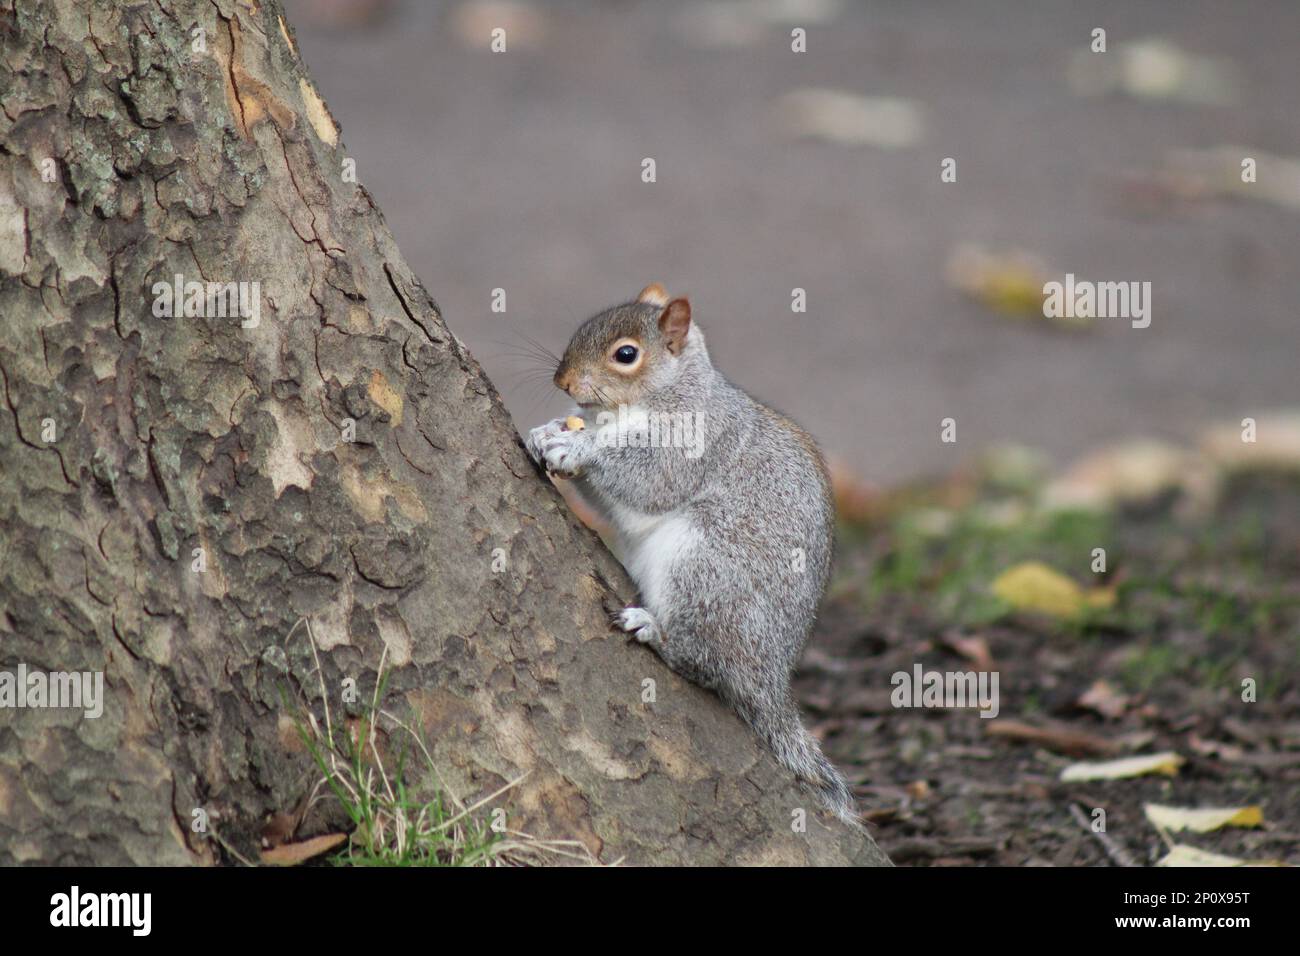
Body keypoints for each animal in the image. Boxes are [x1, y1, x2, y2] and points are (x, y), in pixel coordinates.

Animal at [524, 282, 858, 825]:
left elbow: (650, 479)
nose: (563, 380)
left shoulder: (696, 442)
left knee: (702, 662)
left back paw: (653, 630)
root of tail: (770, 679)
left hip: (707, 569)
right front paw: (550, 430)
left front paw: (578, 448)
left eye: (626, 355)